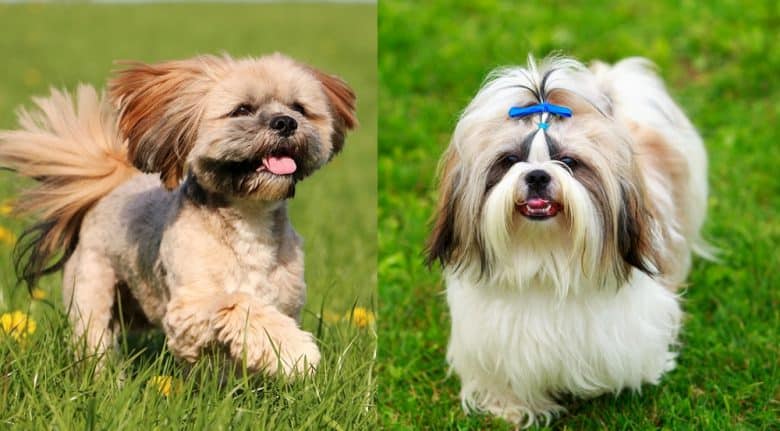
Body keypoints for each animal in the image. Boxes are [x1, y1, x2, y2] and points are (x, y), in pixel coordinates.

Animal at [0, 53, 356, 378]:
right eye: (242, 109)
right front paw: (294, 350)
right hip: (92, 290)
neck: (249, 218)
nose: (285, 122)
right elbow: (237, 303)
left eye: (299, 108)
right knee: (95, 342)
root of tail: (116, 183)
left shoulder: (287, 301)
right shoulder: (188, 312)